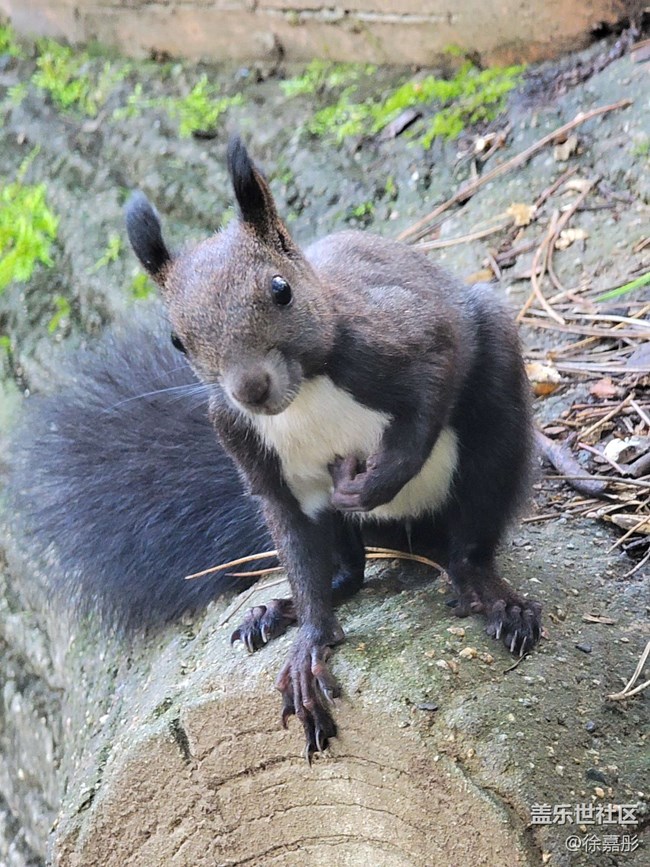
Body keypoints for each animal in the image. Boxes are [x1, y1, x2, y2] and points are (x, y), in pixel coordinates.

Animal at [8, 137, 542, 758]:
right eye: (177, 340)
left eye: (280, 290)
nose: (250, 388)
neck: (303, 394)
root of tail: (413, 533)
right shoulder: (243, 443)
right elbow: (292, 531)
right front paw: (310, 642)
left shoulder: (405, 337)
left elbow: (432, 391)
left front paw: (374, 482)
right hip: (339, 529)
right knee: (345, 571)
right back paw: (280, 608)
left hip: (492, 423)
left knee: (473, 530)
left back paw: (490, 591)